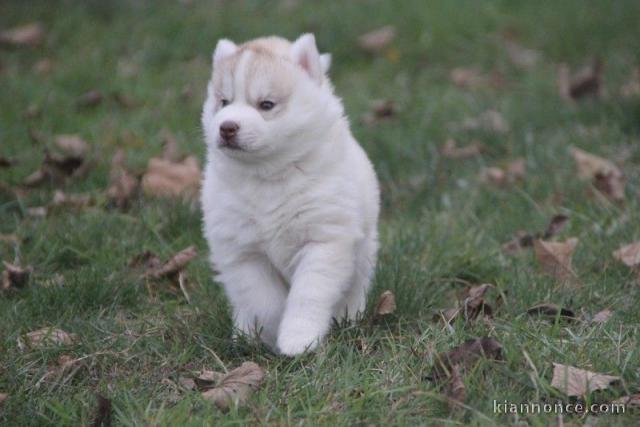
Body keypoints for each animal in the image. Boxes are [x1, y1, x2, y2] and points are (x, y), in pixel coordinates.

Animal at [201, 33, 380, 356]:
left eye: (266, 104)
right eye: (224, 102)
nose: (227, 127)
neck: (268, 175)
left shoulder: (325, 240)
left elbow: (307, 294)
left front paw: (299, 339)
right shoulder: (243, 251)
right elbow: (265, 300)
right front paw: (271, 336)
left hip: (363, 253)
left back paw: (348, 318)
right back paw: (243, 333)